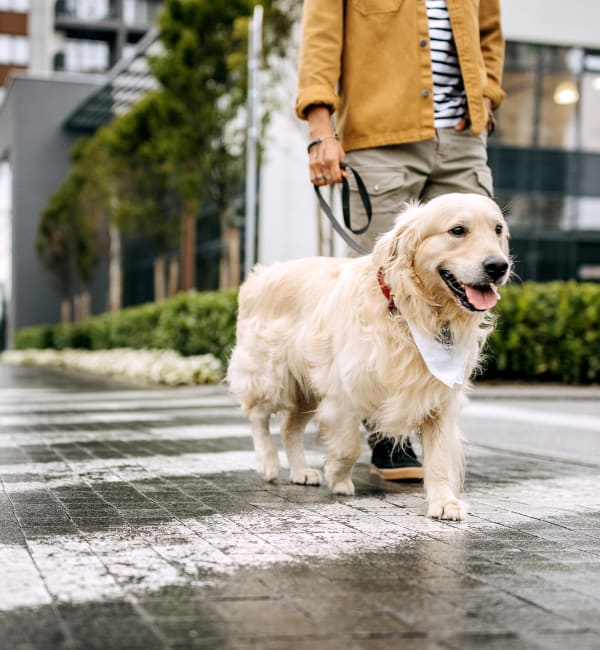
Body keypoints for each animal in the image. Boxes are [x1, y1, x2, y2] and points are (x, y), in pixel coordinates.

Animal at [227, 191, 508, 516]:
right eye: (458, 230)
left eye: (498, 230)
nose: (499, 266)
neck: (408, 311)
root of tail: (260, 273)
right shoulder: (344, 388)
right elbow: (349, 444)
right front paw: (337, 476)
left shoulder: (438, 395)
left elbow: (439, 457)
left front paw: (444, 501)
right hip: (270, 374)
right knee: (258, 417)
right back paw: (268, 462)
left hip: (305, 385)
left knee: (288, 428)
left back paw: (300, 471)